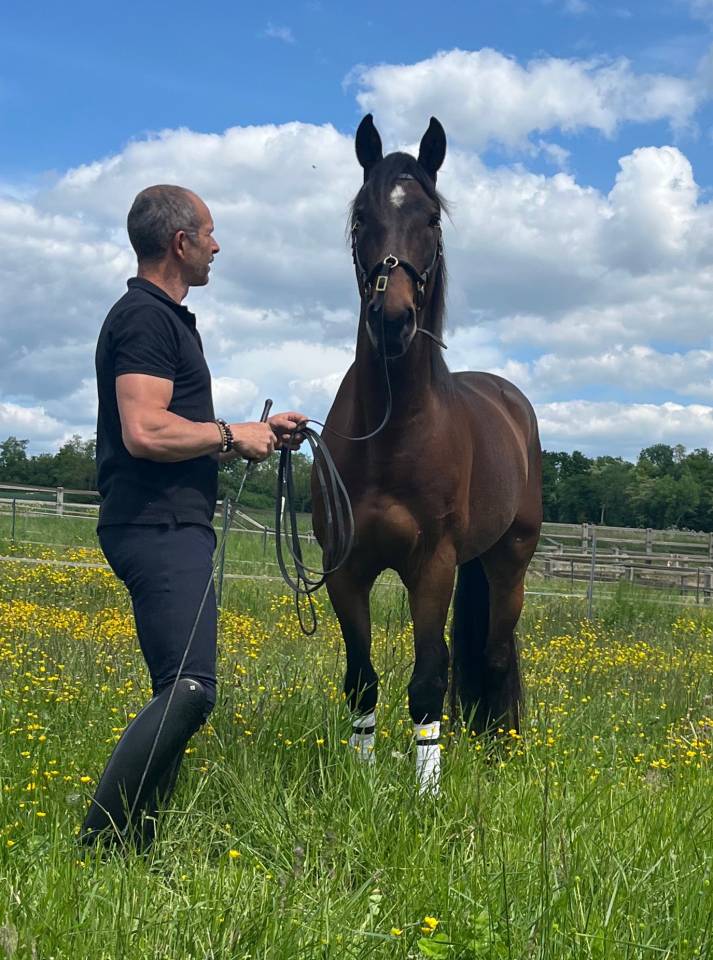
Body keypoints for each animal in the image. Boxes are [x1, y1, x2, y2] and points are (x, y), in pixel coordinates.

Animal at [312, 114, 542, 792]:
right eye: (361, 216)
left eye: (432, 219)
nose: (392, 319)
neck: (393, 434)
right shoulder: (346, 568)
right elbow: (362, 680)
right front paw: (362, 782)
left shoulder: (433, 567)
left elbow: (429, 679)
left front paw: (428, 791)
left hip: (509, 562)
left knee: (494, 655)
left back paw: (496, 752)